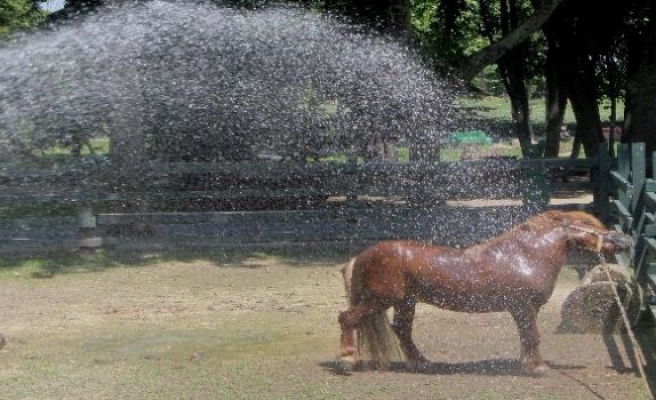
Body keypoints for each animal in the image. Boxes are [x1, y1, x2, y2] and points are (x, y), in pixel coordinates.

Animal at [338, 209, 632, 376]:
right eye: (590, 225)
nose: (625, 239)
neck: (526, 256)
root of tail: (362, 256)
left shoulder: (524, 310)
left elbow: (527, 337)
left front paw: (527, 363)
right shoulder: (523, 307)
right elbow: (533, 336)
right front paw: (538, 367)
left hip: (405, 302)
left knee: (402, 330)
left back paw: (422, 364)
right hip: (379, 299)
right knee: (347, 318)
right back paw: (347, 360)